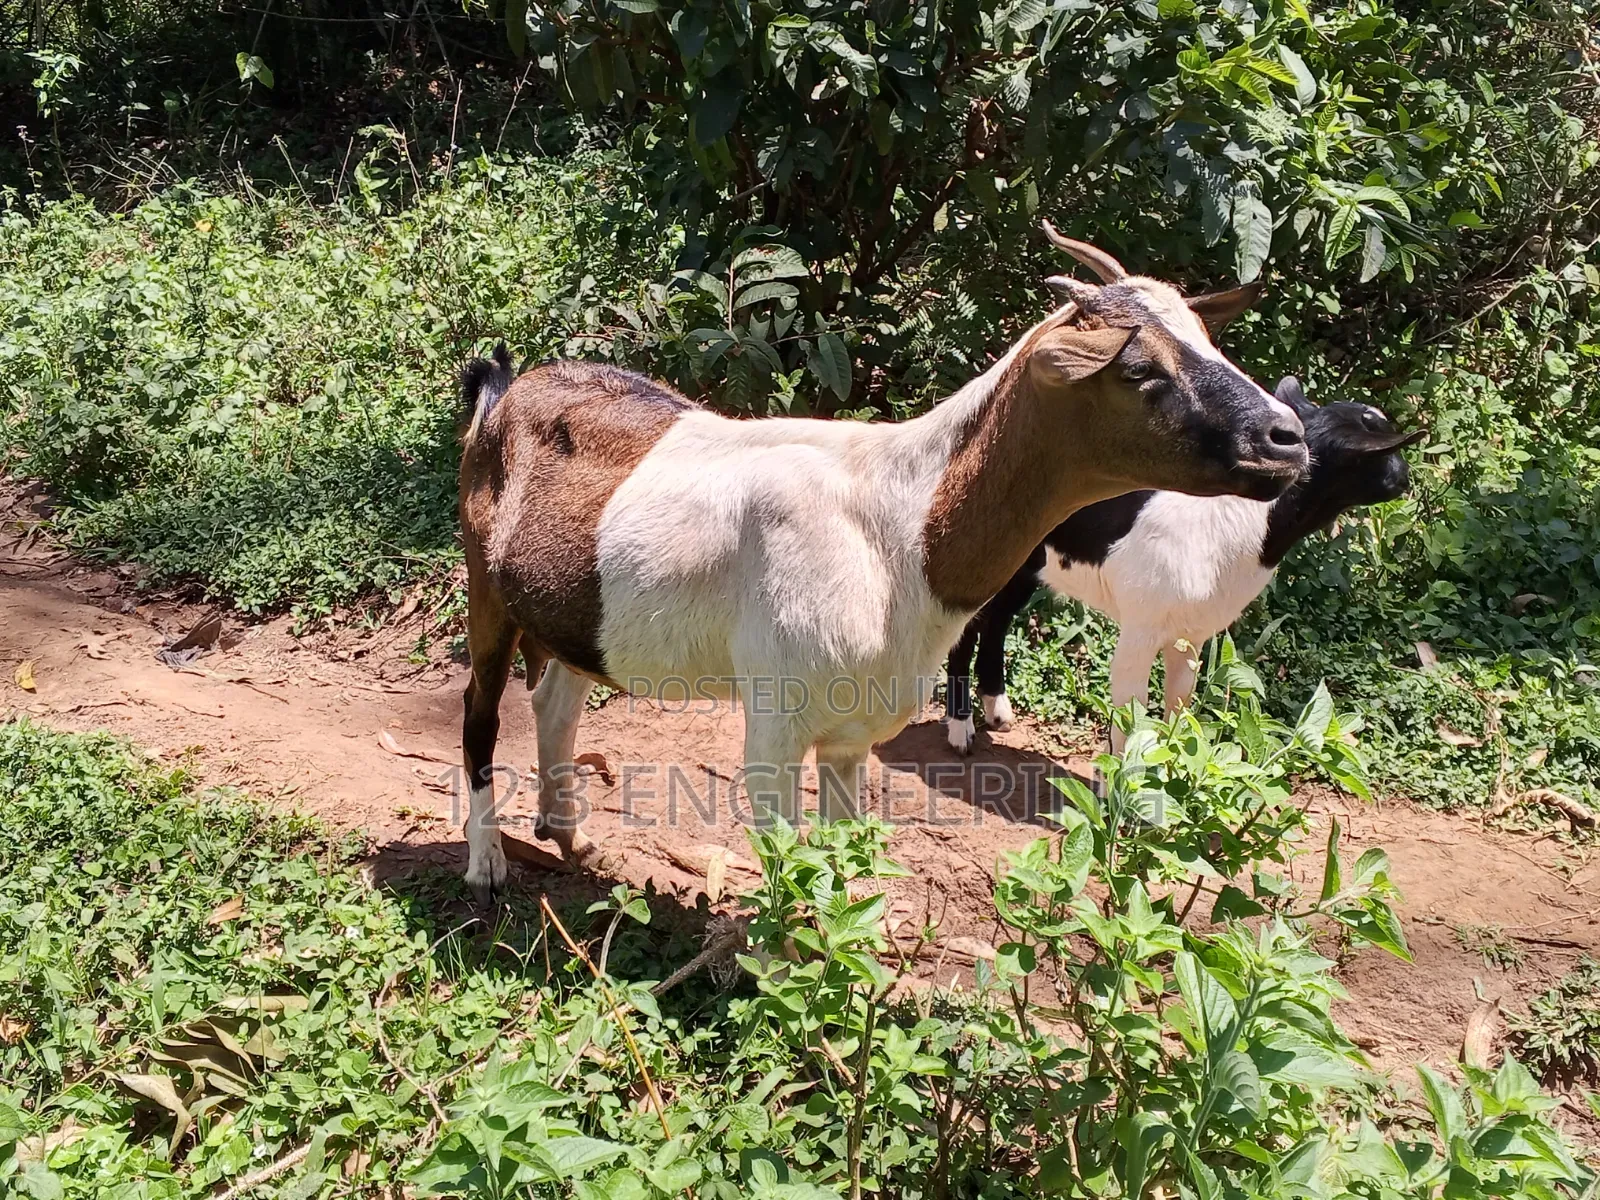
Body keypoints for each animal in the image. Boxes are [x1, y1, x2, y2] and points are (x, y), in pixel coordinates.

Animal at [455, 222, 1309, 903]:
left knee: (554, 702)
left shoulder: (850, 728)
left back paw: (571, 836)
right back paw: (487, 865)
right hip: (485, 587)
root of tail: (505, 392)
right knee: (480, 712)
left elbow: (838, 861)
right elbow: (786, 862)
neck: (898, 531)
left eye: (1211, 342)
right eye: (1139, 371)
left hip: (577, 614)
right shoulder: (775, 720)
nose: (1287, 437)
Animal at [944, 375, 1426, 755]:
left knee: (997, 621)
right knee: (966, 629)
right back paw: (960, 730)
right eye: (1384, 451)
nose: (1406, 477)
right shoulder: (1140, 629)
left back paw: (998, 712)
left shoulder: (1190, 636)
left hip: (1024, 567)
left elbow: (1178, 707)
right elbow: (1130, 719)